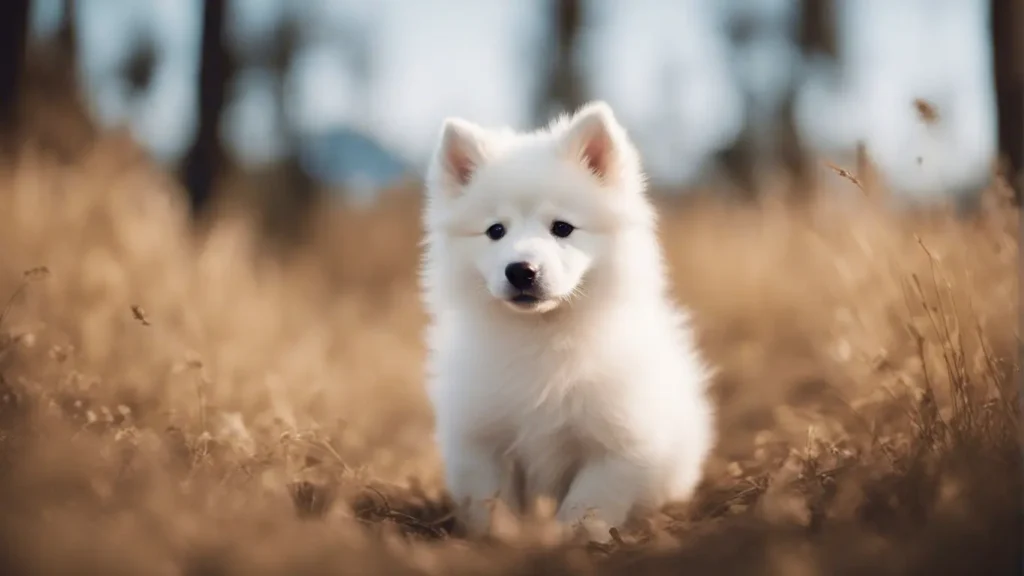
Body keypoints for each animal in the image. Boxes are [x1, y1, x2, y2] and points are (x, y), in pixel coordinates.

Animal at [419, 100, 716, 541]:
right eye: (495, 231)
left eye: (562, 228)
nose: (520, 271)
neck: (542, 337)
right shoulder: (481, 440)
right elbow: (492, 502)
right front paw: (501, 541)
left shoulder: (618, 444)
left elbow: (587, 504)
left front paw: (569, 542)